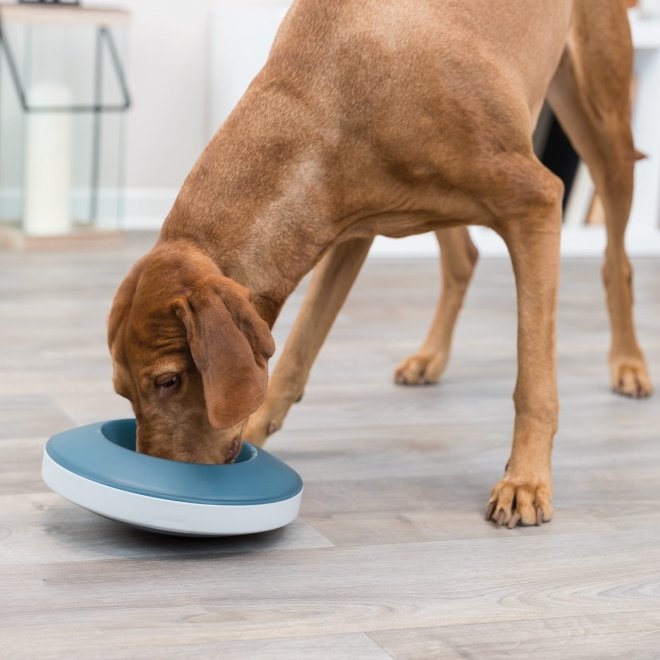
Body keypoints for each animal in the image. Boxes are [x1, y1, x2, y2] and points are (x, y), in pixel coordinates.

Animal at [108, 0, 648, 524]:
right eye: (122, 391)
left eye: (169, 381)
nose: (154, 484)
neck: (329, 95)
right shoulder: (344, 230)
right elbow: (298, 352)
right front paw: (261, 426)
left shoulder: (535, 203)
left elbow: (533, 378)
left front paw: (526, 481)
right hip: (437, 206)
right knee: (464, 259)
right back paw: (430, 357)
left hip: (604, 124)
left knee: (616, 261)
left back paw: (629, 364)